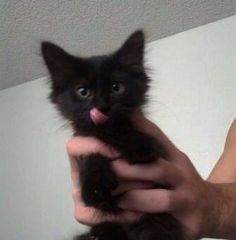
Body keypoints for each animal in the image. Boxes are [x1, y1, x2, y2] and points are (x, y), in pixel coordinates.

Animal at [41, 30, 183, 240]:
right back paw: (100, 233)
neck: (107, 131)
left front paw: (139, 146)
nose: (102, 107)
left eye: (116, 87)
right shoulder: (83, 142)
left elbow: (127, 133)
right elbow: (91, 156)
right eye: (83, 92)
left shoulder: (159, 150)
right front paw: (95, 184)